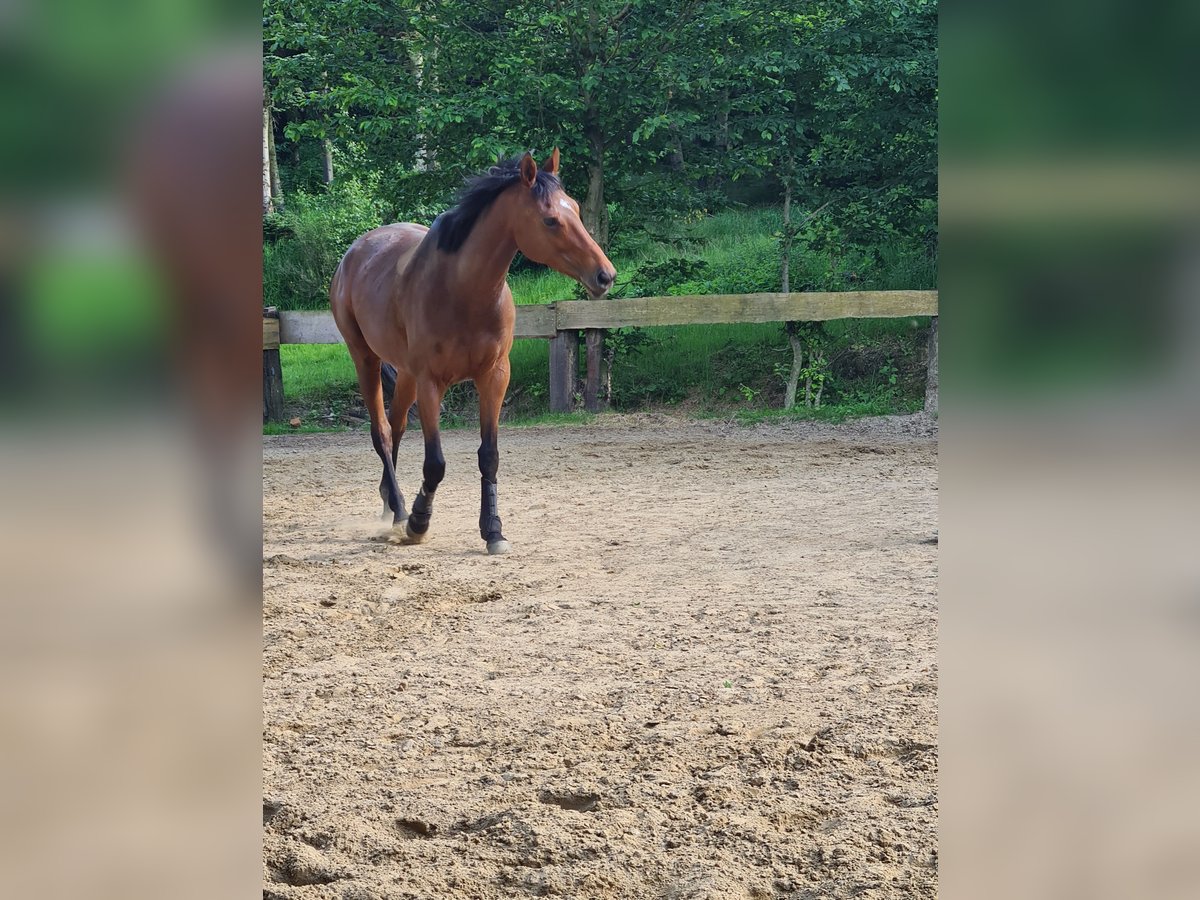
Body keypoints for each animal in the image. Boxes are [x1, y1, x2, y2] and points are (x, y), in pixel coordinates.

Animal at [328, 150, 614, 554]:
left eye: (574, 207)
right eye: (550, 219)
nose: (605, 275)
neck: (462, 292)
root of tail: (355, 252)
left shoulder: (494, 377)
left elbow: (489, 456)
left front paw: (493, 530)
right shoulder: (432, 384)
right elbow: (435, 463)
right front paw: (418, 522)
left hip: (406, 375)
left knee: (396, 428)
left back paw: (388, 502)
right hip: (365, 359)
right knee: (381, 432)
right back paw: (399, 512)